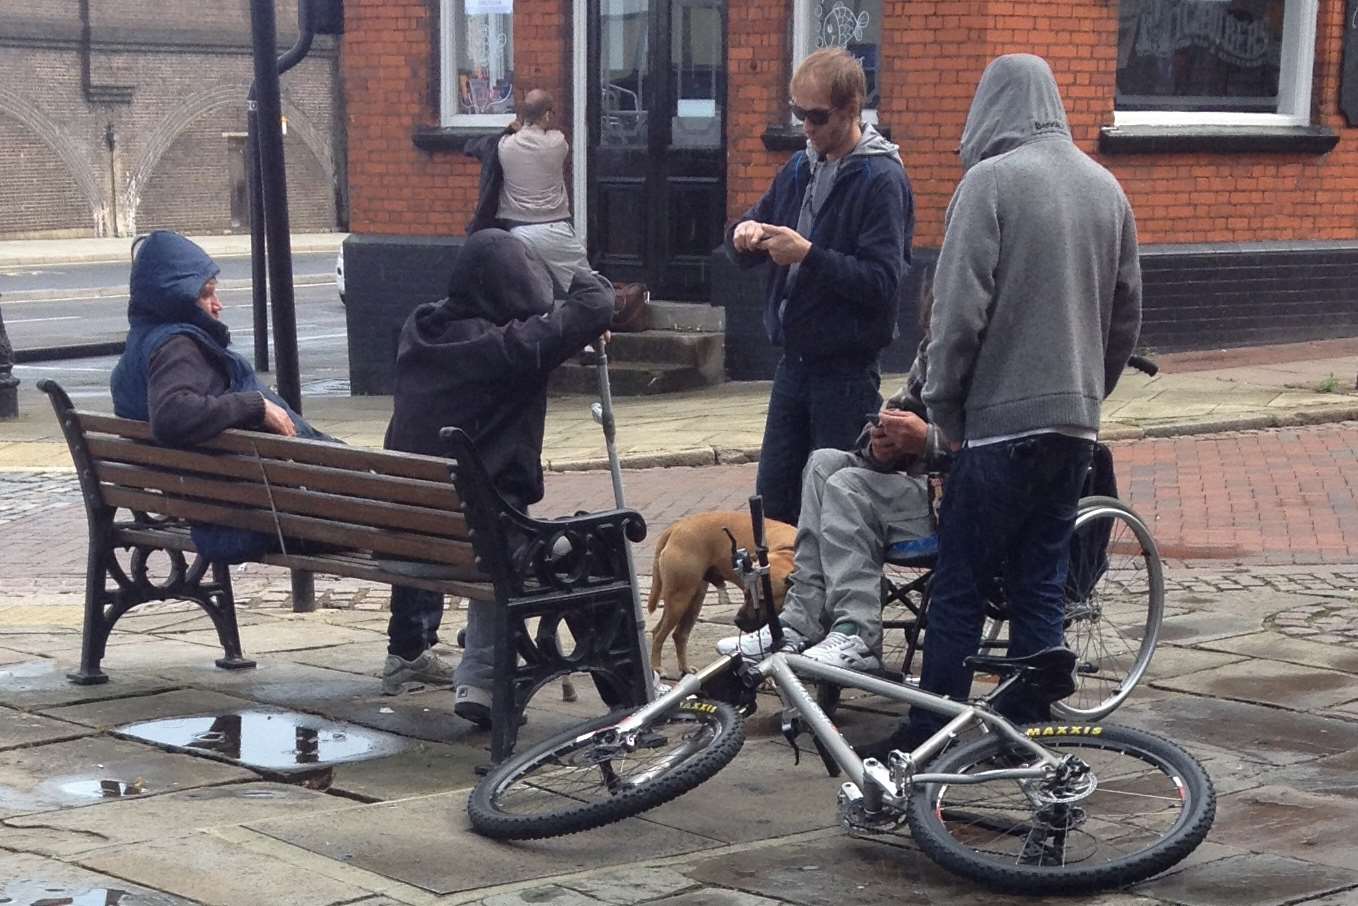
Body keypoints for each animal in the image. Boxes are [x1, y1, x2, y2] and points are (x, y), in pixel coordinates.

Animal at [646, 513, 793, 676]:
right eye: (746, 594)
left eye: (762, 599)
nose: (737, 621)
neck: (787, 552)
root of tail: (676, 527)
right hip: (679, 599)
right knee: (659, 634)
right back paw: (657, 667)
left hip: (694, 600)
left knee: (678, 634)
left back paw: (685, 668)